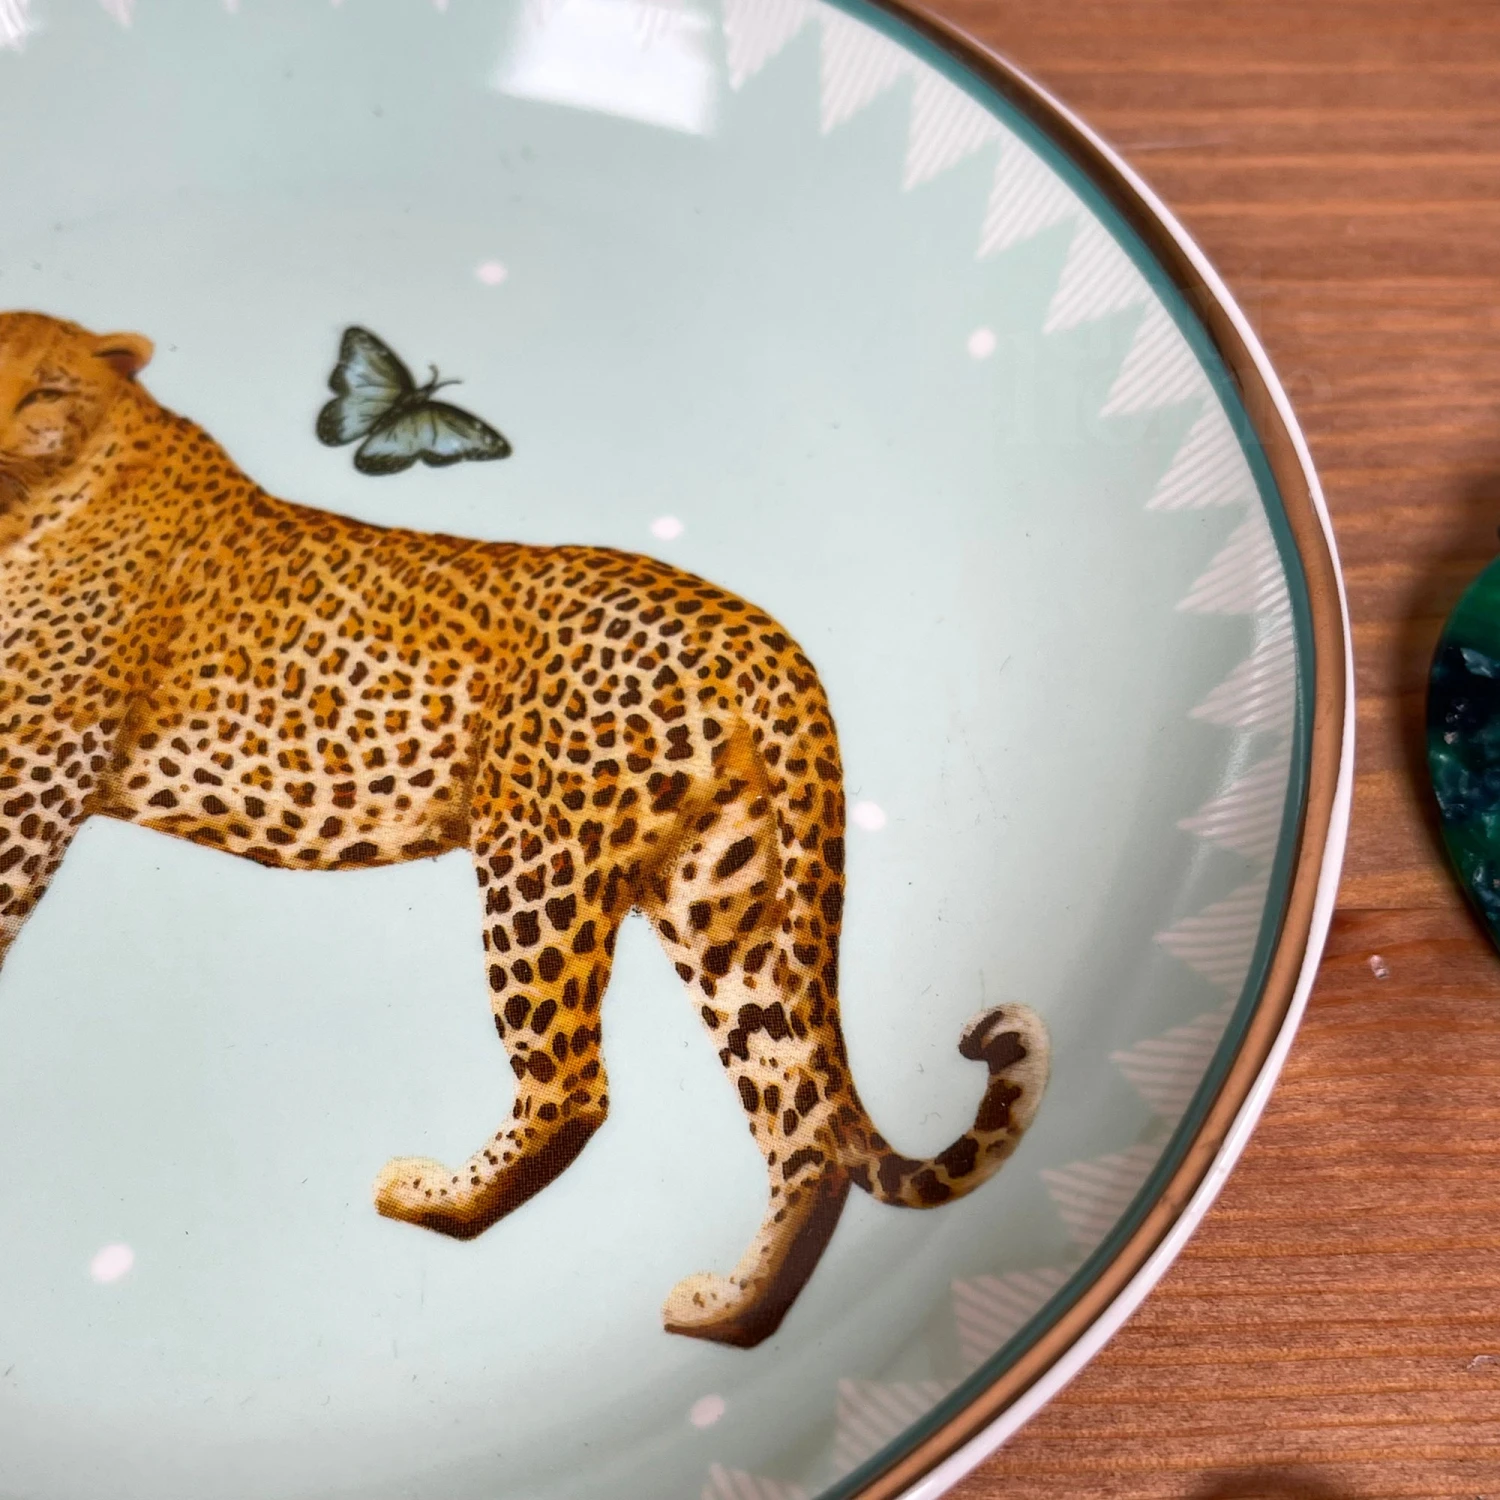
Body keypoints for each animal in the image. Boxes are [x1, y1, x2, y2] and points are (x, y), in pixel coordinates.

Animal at [0, 311, 1049, 1349]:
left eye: (46, 389)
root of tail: (755, 632)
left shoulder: (38, 767)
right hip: (723, 888)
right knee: (799, 1121)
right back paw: (735, 1312)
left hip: (543, 861)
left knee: (573, 1085)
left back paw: (436, 1201)